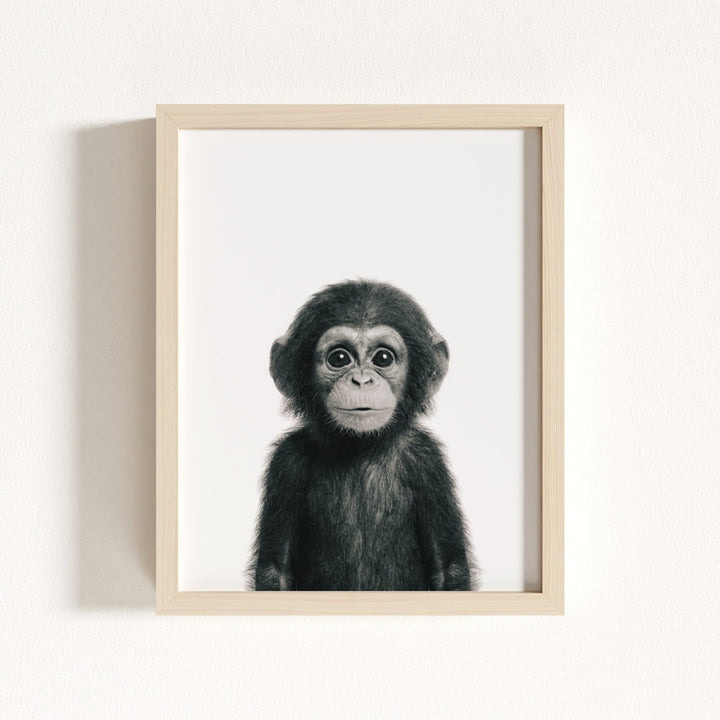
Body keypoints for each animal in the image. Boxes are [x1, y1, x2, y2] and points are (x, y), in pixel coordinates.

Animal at [248, 280, 476, 591]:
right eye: (339, 358)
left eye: (383, 358)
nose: (361, 380)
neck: (360, 447)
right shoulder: (287, 462)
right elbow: (275, 570)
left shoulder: (427, 460)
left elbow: (449, 569)